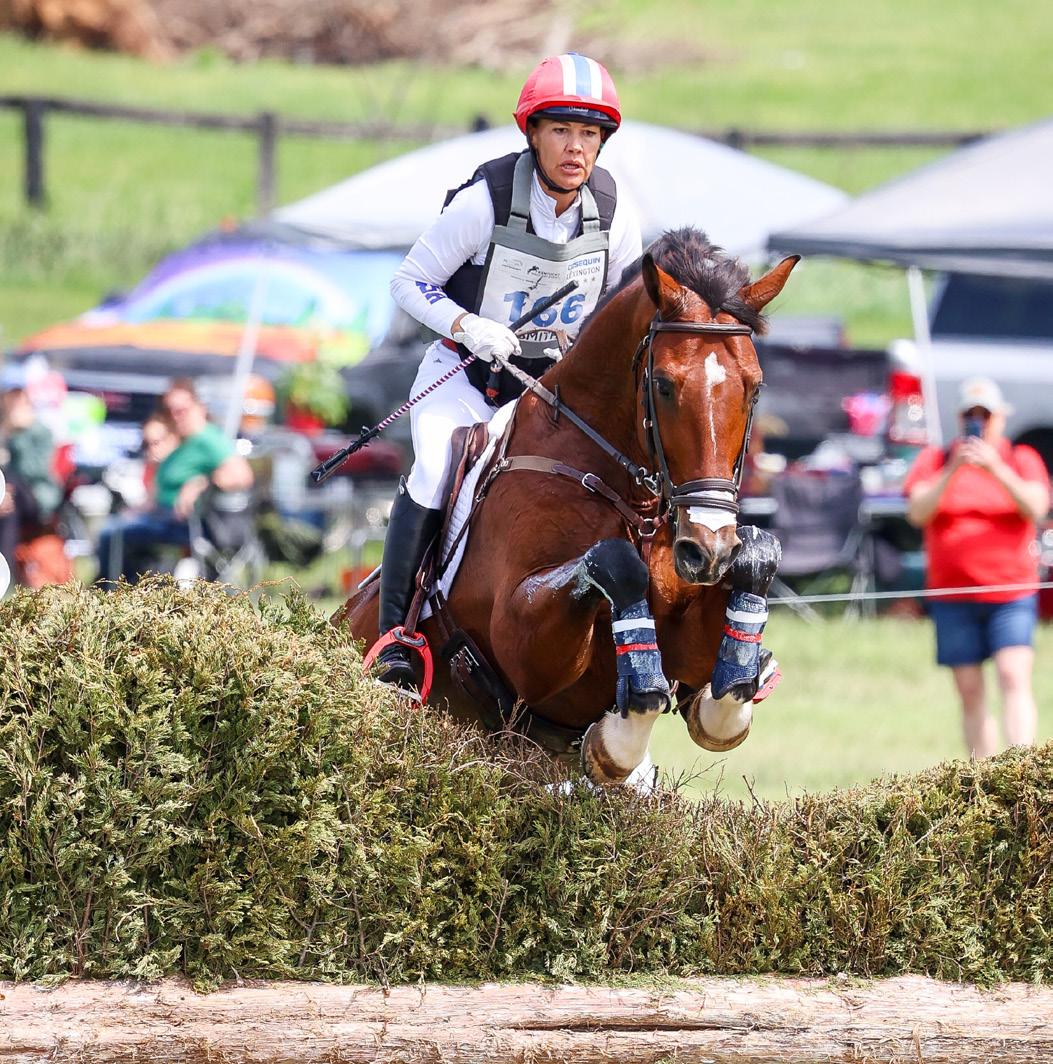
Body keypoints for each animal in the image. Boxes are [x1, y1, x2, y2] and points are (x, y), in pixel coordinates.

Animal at [337, 228, 799, 786]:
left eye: (755, 387)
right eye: (663, 385)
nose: (706, 552)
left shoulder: (690, 646)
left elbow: (722, 695)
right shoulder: (523, 644)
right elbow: (613, 565)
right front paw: (618, 736)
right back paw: (397, 660)